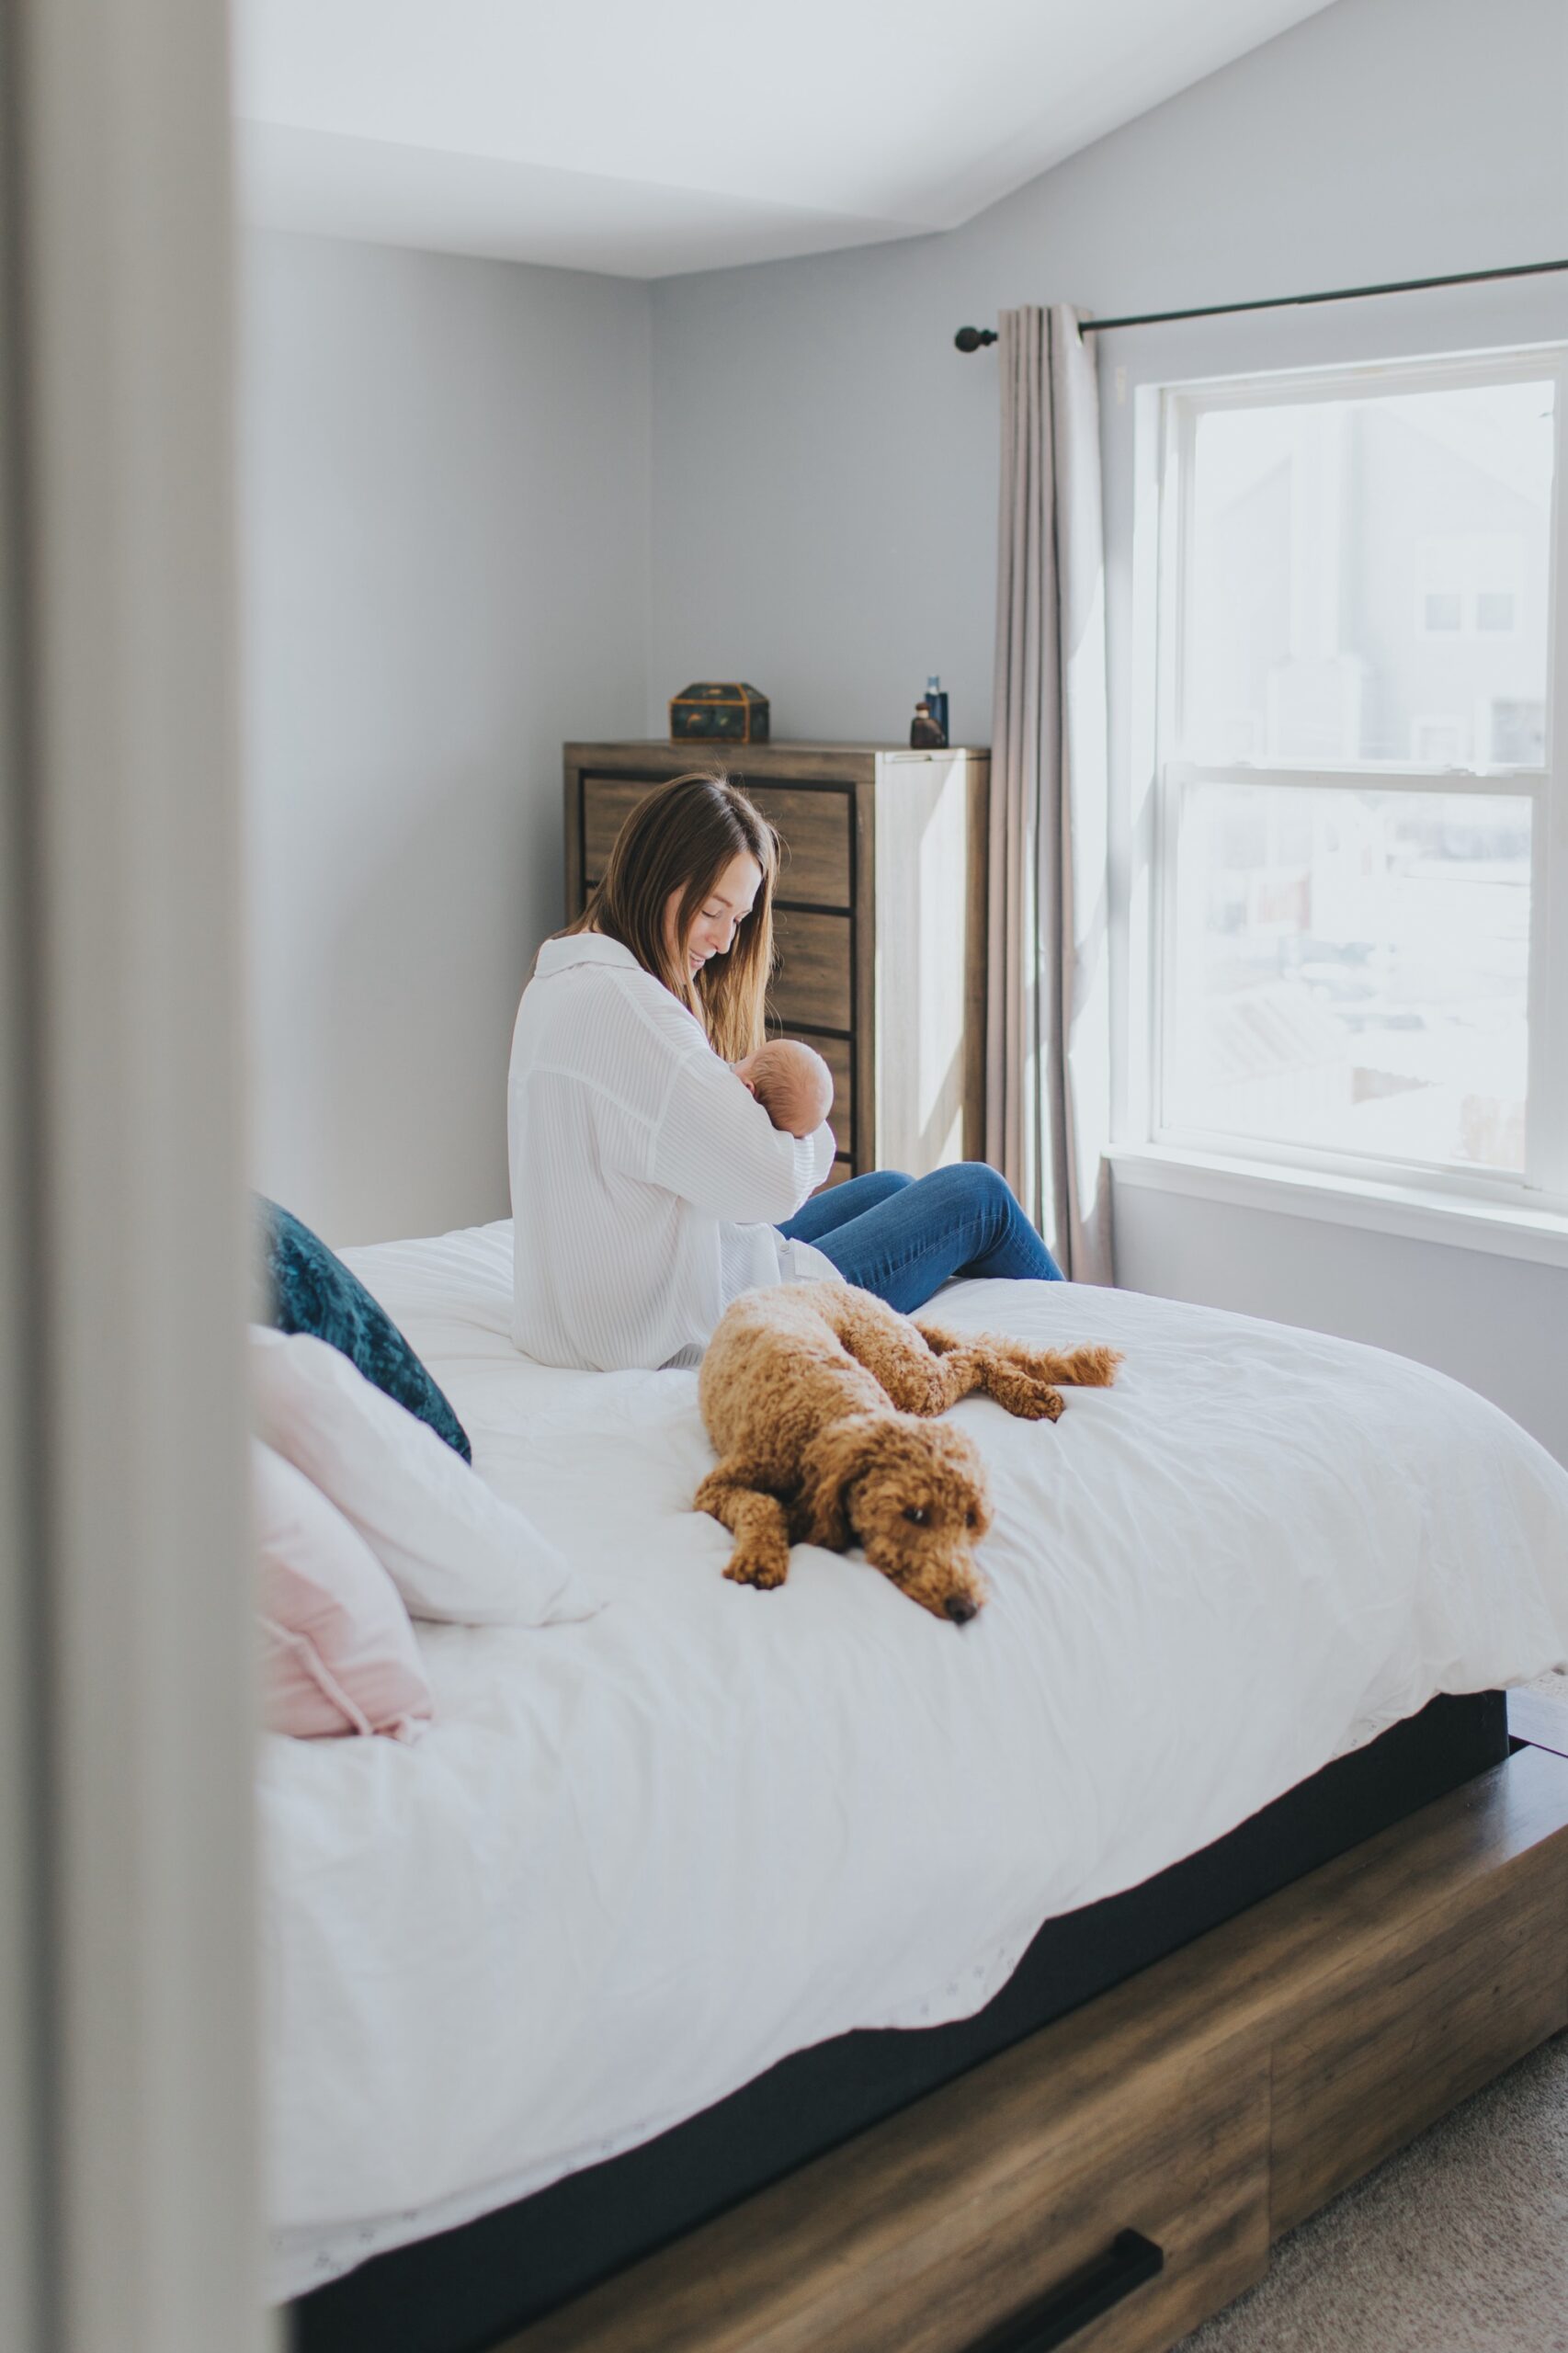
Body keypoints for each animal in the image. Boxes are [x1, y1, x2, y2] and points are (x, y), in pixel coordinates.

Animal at [692, 1279, 1111, 1628]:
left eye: (970, 1520)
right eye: (915, 1515)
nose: (966, 1608)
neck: (832, 1413)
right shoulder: (715, 1488)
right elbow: (762, 1505)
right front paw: (759, 1559)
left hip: (906, 1376)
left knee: (974, 1353)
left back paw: (1032, 1395)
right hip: (909, 1379)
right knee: (973, 1352)